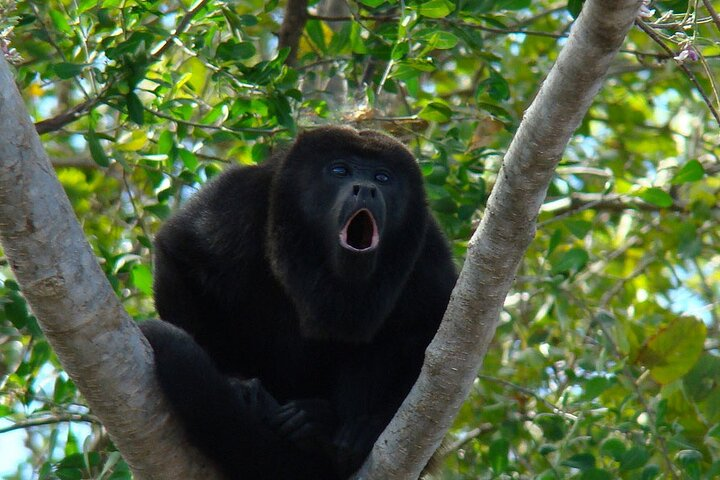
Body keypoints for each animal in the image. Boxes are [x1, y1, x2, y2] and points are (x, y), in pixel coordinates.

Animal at [141, 126, 456, 480]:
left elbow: (429, 333)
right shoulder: (236, 199)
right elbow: (181, 253)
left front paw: (369, 428)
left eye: (383, 177)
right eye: (339, 170)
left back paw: (319, 427)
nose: (366, 188)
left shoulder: (428, 250)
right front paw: (236, 383)